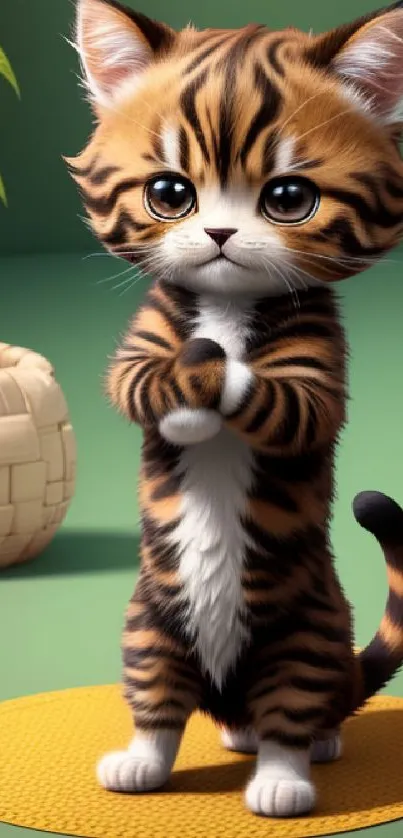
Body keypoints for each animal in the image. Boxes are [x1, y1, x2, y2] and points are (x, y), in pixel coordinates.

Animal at [67, 0, 403, 820]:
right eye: (169, 193)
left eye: (287, 199)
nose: (219, 234)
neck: (227, 304)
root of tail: (229, 694)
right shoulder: (139, 346)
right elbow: (137, 381)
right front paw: (187, 397)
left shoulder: (318, 369)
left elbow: (279, 398)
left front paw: (213, 372)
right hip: (150, 625)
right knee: (160, 705)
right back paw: (148, 760)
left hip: (305, 633)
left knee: (294, 710)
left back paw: (290, 768)